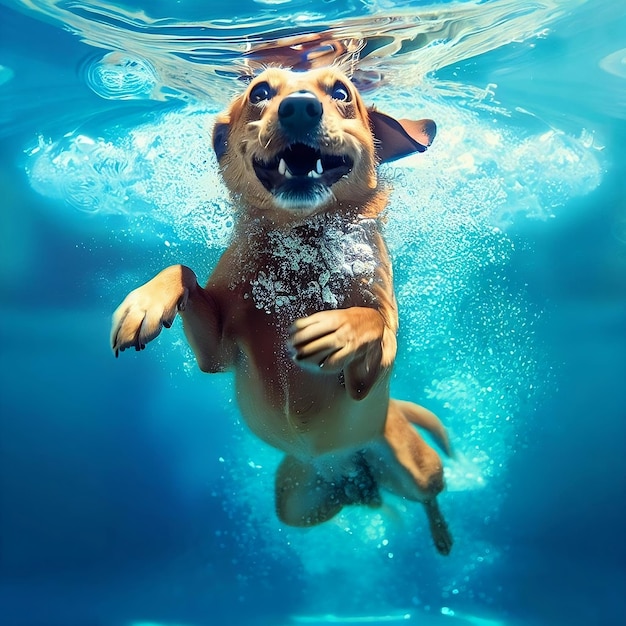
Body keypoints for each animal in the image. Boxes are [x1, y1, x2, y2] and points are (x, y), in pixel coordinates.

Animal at [112, 68, 450, 552]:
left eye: (342, 92)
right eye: (260, 92)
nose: (300, 108)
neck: (299, 244)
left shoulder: (371, 372)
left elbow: (374, 321)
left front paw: (336, 329)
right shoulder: (216, 354)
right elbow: (183, 270)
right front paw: (145, 303)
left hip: (418, 467)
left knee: (431, 496)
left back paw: (441, 538)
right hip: (294, 504)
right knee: (359, 498)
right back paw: (365, 494)